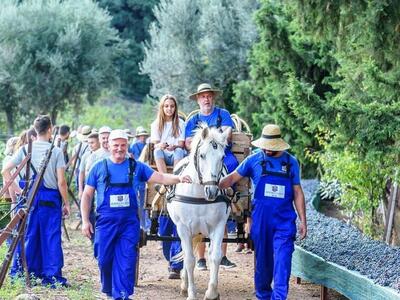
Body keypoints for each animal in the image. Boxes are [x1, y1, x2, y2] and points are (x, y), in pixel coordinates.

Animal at [167, 124, 230, 300]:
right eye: (202, 155)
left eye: (222, 157)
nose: (212, 191)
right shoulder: (183, 228)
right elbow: (189, 260)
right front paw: (191, 293)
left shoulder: (218, 225)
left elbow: (215, 256)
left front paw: (211, 293)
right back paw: (184, 283)